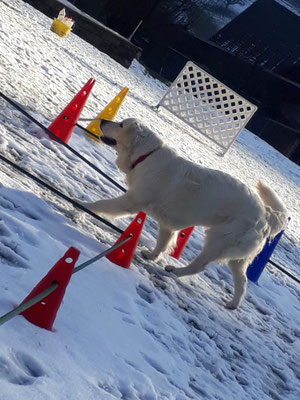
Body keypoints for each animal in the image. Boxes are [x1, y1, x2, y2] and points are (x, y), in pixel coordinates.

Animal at [80, 119, 288, 310]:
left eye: (121, 125)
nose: (102, 120)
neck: (147, 156)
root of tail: (267, 214)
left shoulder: (131, 201)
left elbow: (102, 204)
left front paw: (82, 205)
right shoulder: (166, 222)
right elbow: (163, 242)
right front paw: (152, 256)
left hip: (218, 240)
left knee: (200, 265)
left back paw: (175, 271)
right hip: (237, 257)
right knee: (243, 281)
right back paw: (232, 304)